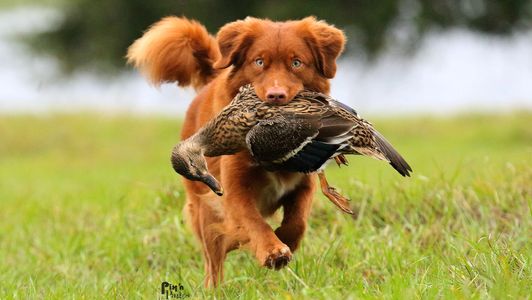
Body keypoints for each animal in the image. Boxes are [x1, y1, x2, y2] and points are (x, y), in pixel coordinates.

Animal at [128, 15, 344, 286]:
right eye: (259, 62)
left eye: (296, 63)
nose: (275, 96)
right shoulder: (233, 189)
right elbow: (252, 221)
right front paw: (272, 250)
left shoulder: (304, 182)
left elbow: (298, 220)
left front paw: (285, 239)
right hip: (204, 211)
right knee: (214, 262)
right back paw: (214, 288)